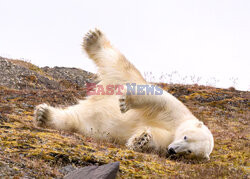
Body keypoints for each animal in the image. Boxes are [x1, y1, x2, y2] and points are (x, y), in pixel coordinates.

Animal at [34, 29, 214, 159]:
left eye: (190, 151)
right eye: (186, 137)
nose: (173, 150)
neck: (177, 125)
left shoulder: (166, 140)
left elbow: (155, 138)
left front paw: (141, 139)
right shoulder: (175, 110)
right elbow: (156, 100)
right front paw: (126, 101)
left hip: (91, 127)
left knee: (71, 121)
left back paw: (45, 115)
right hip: (121, 79)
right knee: (118, 64)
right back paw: (94, 40)